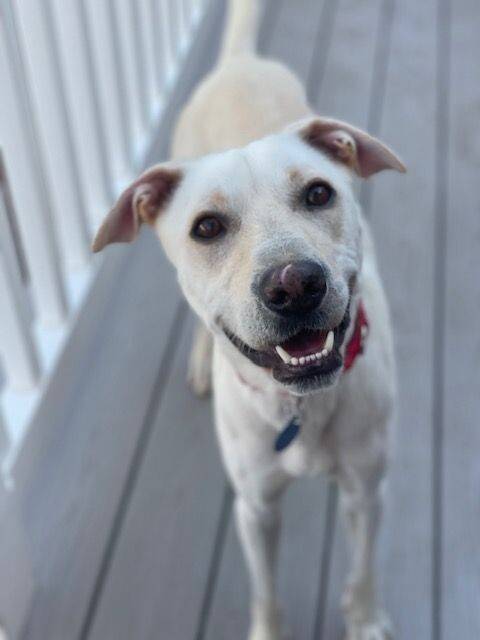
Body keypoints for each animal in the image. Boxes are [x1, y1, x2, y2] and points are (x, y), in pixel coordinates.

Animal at [91, 2, 404, 636]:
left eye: (319, 194)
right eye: (206, 227)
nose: (294, 285)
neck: (301, 407)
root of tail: (239, 62)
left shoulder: (368, 490)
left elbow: (363, 568)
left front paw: (364, 619)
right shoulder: (255, 509)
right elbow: (266, 593)